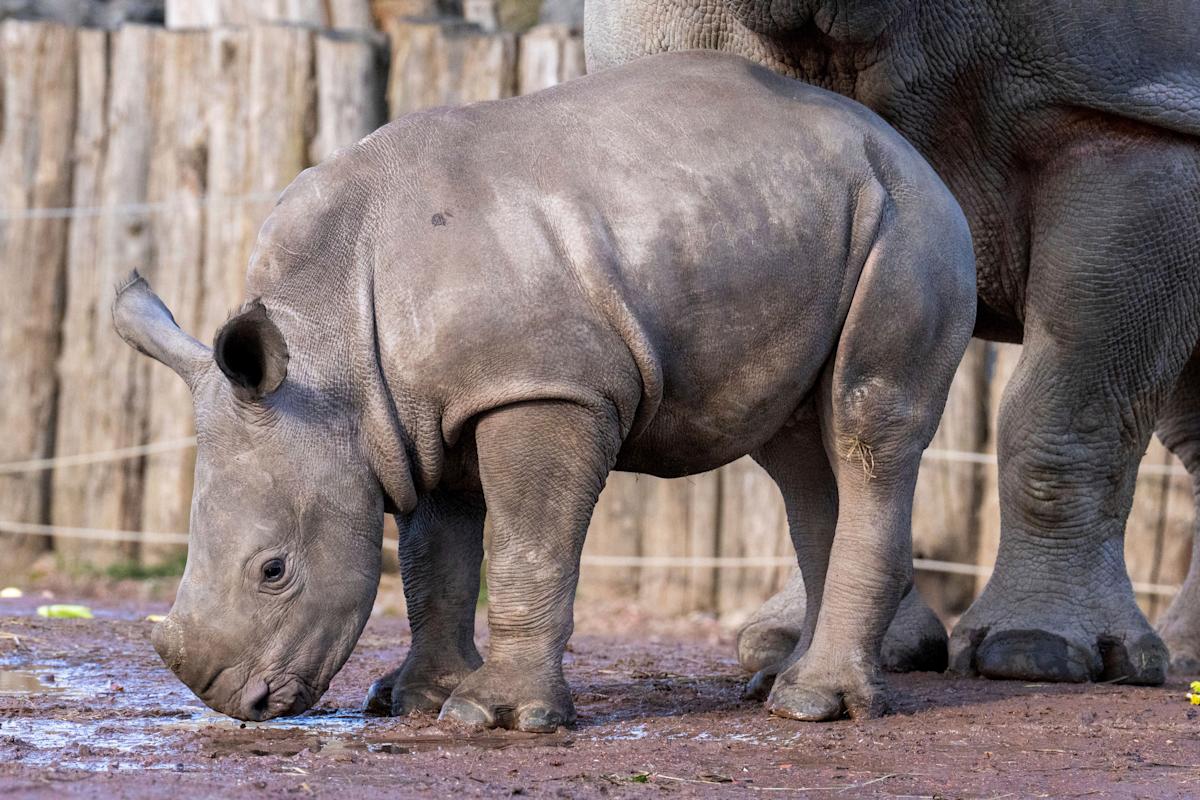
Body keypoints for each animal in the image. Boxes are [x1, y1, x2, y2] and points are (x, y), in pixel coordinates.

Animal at [114, 50, 974, 734]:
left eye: (273, 570)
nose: (234, 702)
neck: (329, 354)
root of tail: (904, 147)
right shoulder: (418, 417)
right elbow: (434, 562)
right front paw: (416, 701)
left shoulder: (542, 389)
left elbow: (526, 546)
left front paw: (493, 717)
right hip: (811, 217)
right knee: (799, 452)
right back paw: (782, 688)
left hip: (907, 224)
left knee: (864, 425)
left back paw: (810, 705)